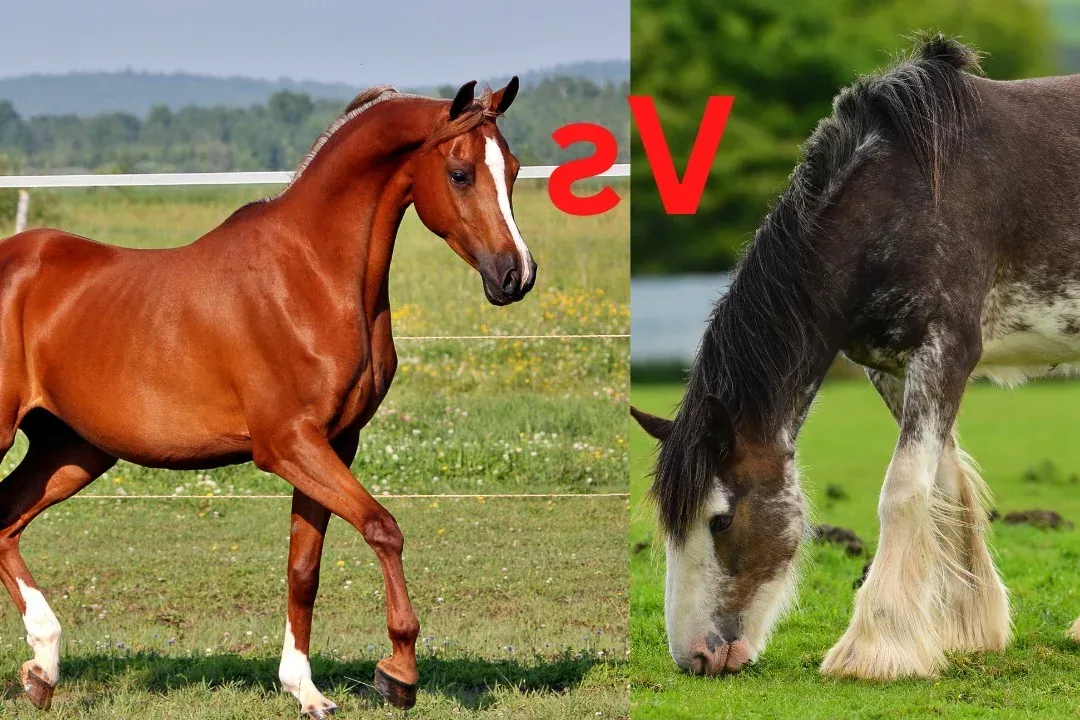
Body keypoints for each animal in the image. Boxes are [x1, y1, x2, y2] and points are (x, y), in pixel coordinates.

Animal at [0, 77, 534, 716]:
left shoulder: (334, 444)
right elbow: (383, 527)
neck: (309, 275)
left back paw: (43, 667)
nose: (516, 275)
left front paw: (307, 689)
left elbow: (304, 568)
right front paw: (398, 672)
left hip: (72, 450)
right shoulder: (287, 445)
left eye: (514, 169)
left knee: (3, 521)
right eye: (460, 173)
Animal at [632, 33, 1080, 681]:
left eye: (720, 519)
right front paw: (966, 631)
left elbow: (904, 491)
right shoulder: (890, 367)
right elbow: (945, 486)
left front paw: (875, 648)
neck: (905, 197)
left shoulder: (947, 350)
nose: (696, 656)